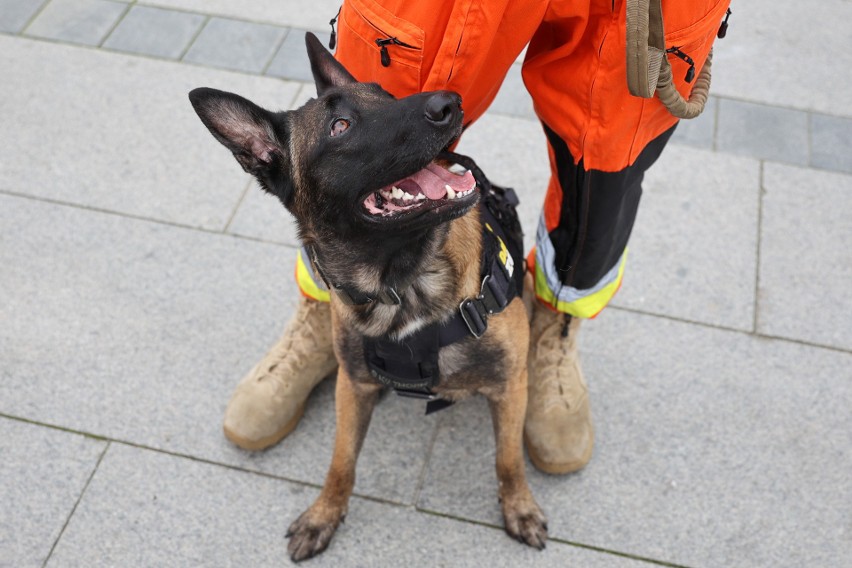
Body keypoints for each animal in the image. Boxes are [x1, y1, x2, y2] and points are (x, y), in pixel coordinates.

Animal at [189, 33, 544, 560]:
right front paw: (324, 514)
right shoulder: (352, 387)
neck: (402, 284)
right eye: (340, 127)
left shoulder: (509, 387)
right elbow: (341, 462)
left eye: (388, 96)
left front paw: (518, 506)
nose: (450, 102)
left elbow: (508, 460)